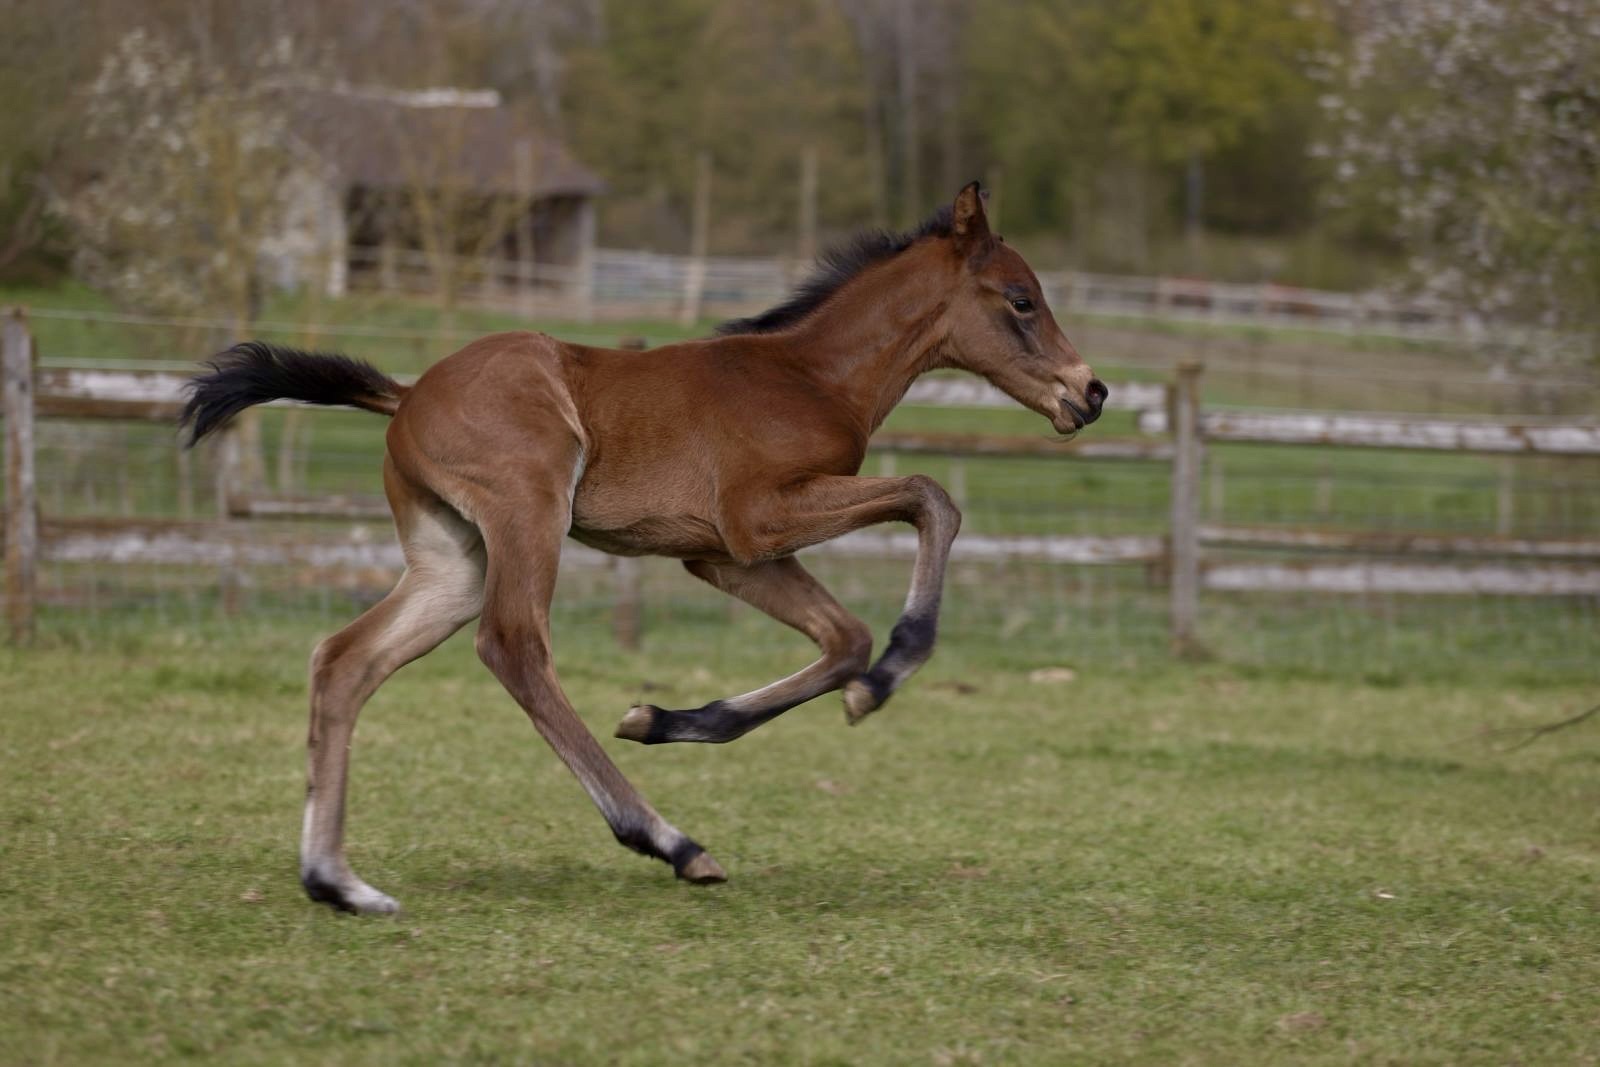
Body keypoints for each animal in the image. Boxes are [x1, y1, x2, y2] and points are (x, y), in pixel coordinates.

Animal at [182, 182, 1106, 914]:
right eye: (1020, 298)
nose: (1089, 391)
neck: (811, 375)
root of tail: (407, 394)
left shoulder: (723, 553)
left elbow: (843, 639)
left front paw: (670, 717)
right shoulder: (759, 516)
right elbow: (930, 498)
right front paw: (892, 670)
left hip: (452, 561)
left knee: (346, 659)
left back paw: (338, 882)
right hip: (529, 514)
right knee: (513, 646)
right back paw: (670, 841)